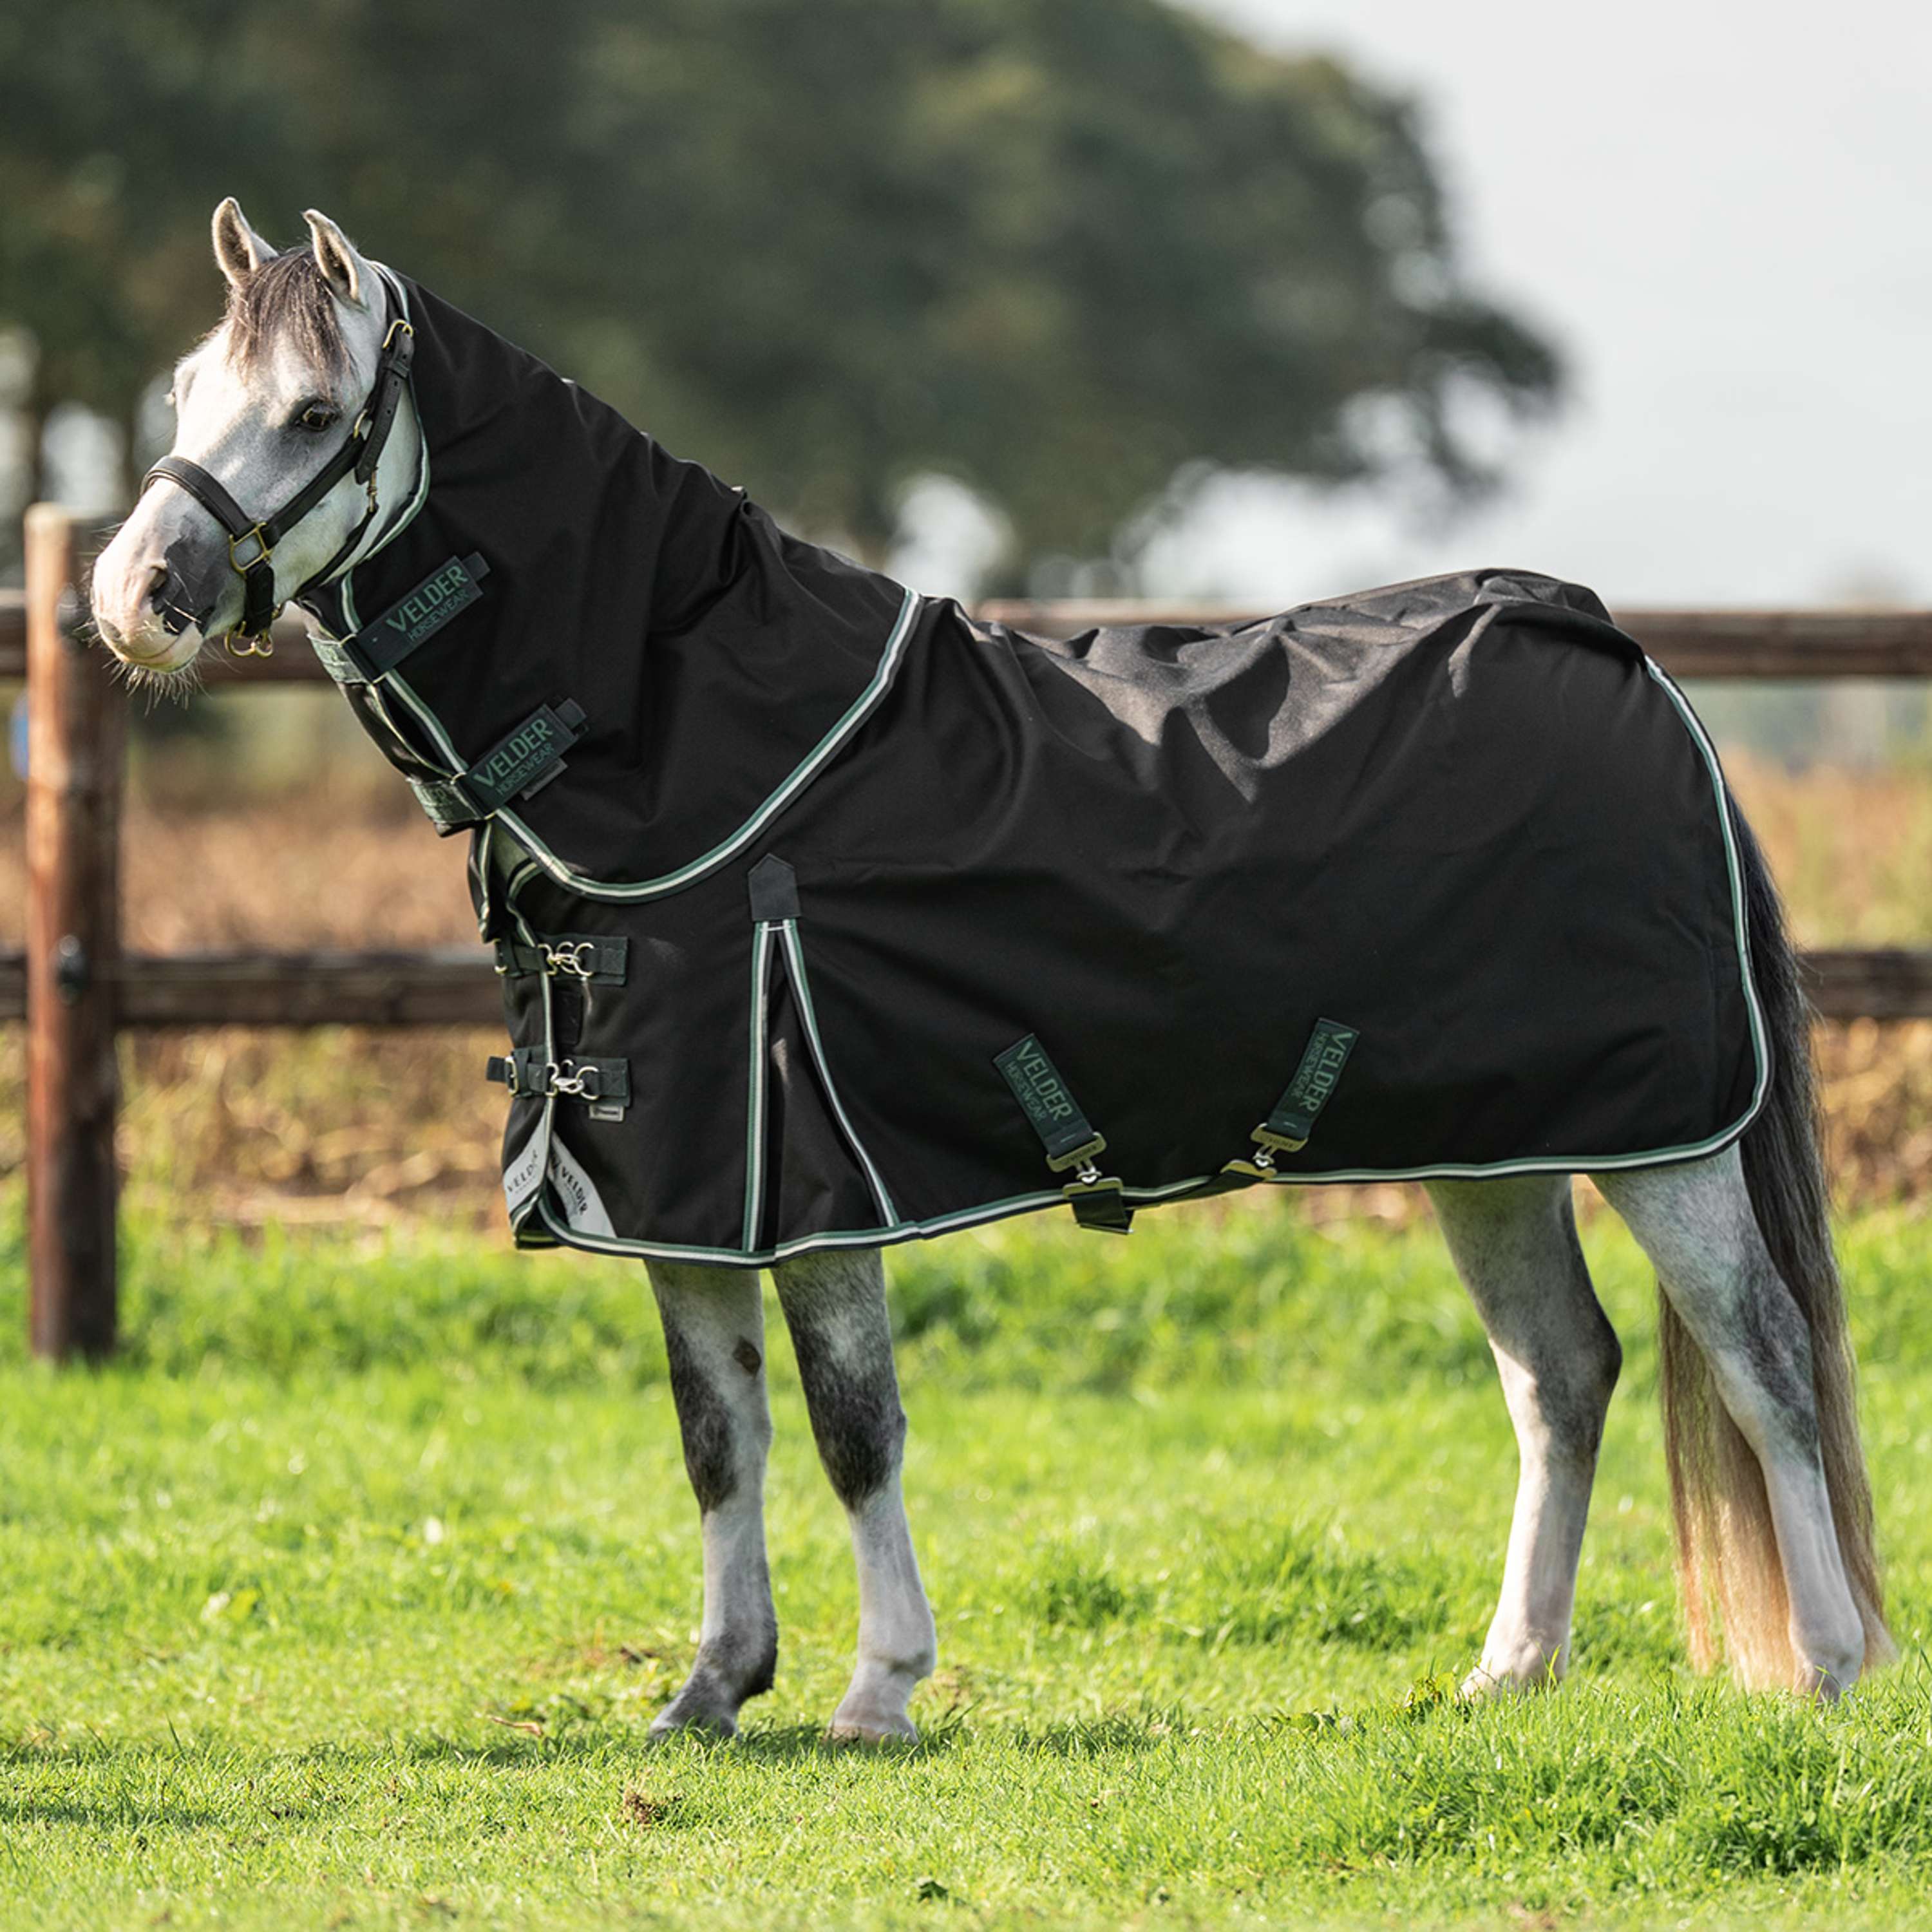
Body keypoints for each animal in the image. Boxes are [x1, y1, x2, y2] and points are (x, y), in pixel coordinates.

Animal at [90, 199, 1892, 1742]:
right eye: (182, 389)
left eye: (313, 414)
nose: (134, 599)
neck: (704, 740)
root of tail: (1622, 656)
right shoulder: (683, 1194)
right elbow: (715, 1435)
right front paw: (709, 1690)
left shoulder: (814, 1188)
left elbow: (848, 1429)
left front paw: (877, 1689)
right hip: (1490, 1148)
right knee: (1561, 1374)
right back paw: (1508, 1671)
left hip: (1662, 1137)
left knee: (1764, 1359)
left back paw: (1825, 1664)